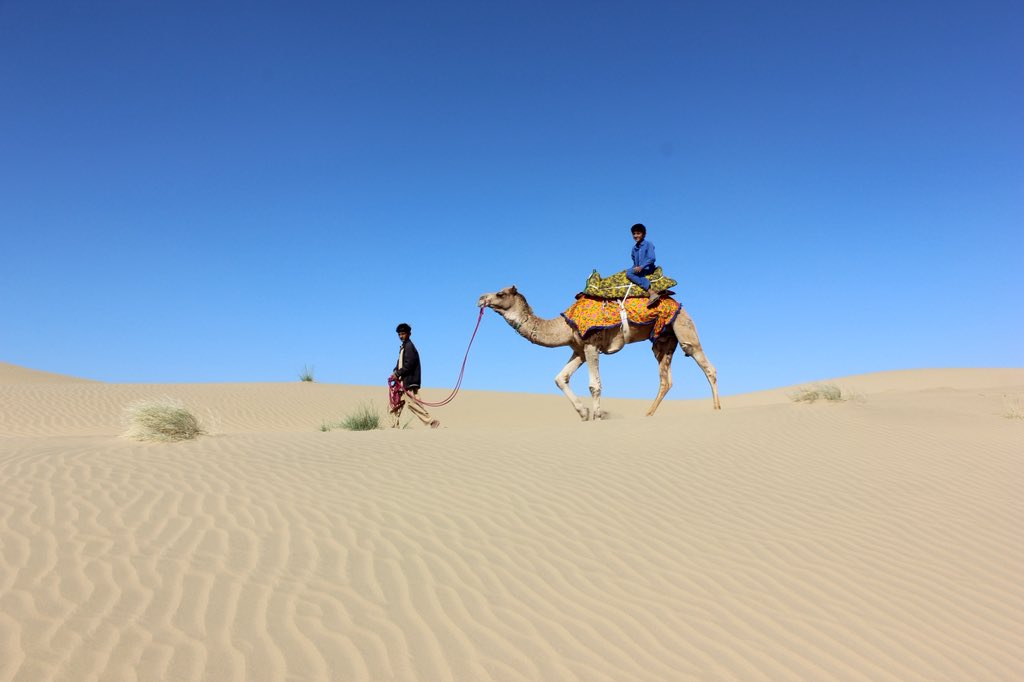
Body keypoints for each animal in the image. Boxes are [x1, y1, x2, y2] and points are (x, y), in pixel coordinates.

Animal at [477, 286, 721, 420]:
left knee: (706, 365)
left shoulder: (592, 345)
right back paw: (648, 413)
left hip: (684, 328)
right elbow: (560, 378)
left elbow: (594, 385)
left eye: (500, 293)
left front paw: (597, 417)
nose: (481, 298)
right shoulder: (579, 350)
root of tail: (677, 302)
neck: (564, 325)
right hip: (663, 341)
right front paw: (583, 413)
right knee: (665, 379)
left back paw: (717, 408)